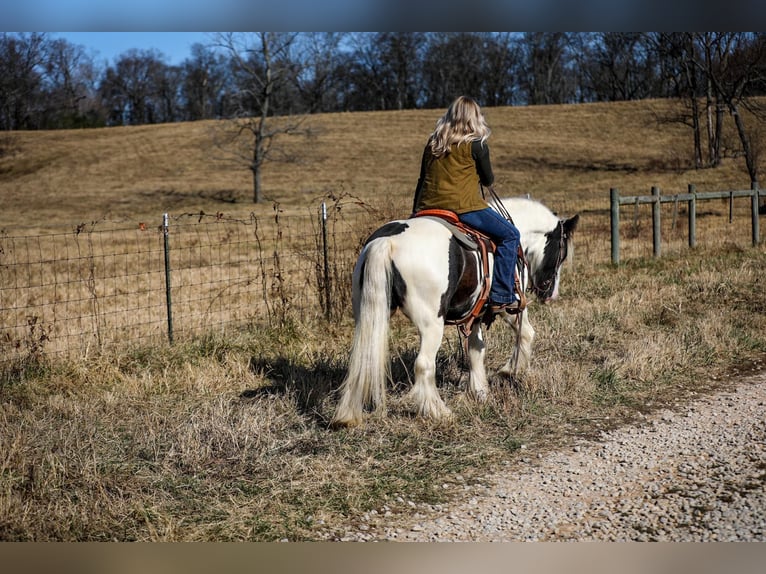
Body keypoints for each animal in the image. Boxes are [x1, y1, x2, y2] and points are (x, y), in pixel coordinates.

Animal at [332, 198, 584, 428]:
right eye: (561, 253)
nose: (550, 294)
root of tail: (387, 241)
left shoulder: (476, 315)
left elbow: (475, 350)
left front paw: (480, 391)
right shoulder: (511, 308)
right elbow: (526, 334)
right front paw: (508, 372)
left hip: (370, 314)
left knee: (364, 360)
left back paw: (348, 415)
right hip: (431, 325)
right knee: (424, 365)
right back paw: (438, 411)